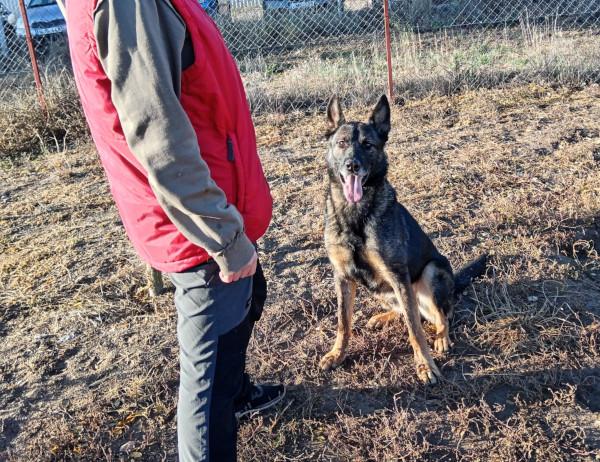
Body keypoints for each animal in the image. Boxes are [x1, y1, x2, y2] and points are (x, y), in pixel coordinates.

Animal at [319, 95, 487, 384]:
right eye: (341, 143)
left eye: (368, 145)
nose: (352, 165)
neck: (355, 215)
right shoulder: (342, 277)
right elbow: (343, 322)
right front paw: (336, 354)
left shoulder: (398, 275)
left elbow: (415, 330)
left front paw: (425, 366)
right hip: (382, 290)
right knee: (413, 312)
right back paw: (382, 317)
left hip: (431, 272)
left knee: (441, 316)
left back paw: (442, 338)